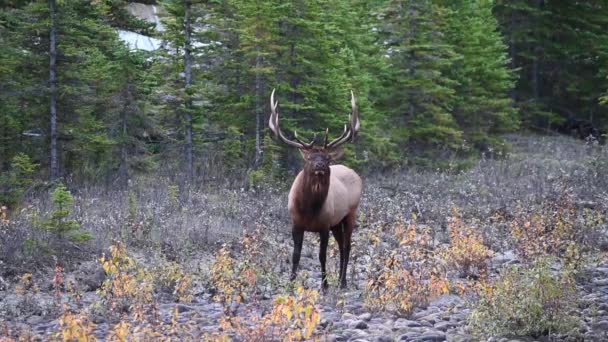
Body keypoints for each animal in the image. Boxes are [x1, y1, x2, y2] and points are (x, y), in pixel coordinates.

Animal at [270, 90, 360, 288]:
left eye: (326, 158)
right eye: (310, 158)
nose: (319, 165)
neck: (309, 209)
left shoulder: (324, 225)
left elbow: (322, 256)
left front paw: (324, 285)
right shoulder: (296, 224)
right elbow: (296, 255)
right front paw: (291, 282)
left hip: (350, 213)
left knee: (347, 245)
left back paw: (343, 281)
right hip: (336, 222)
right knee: (341, 245)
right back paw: (340, 280)